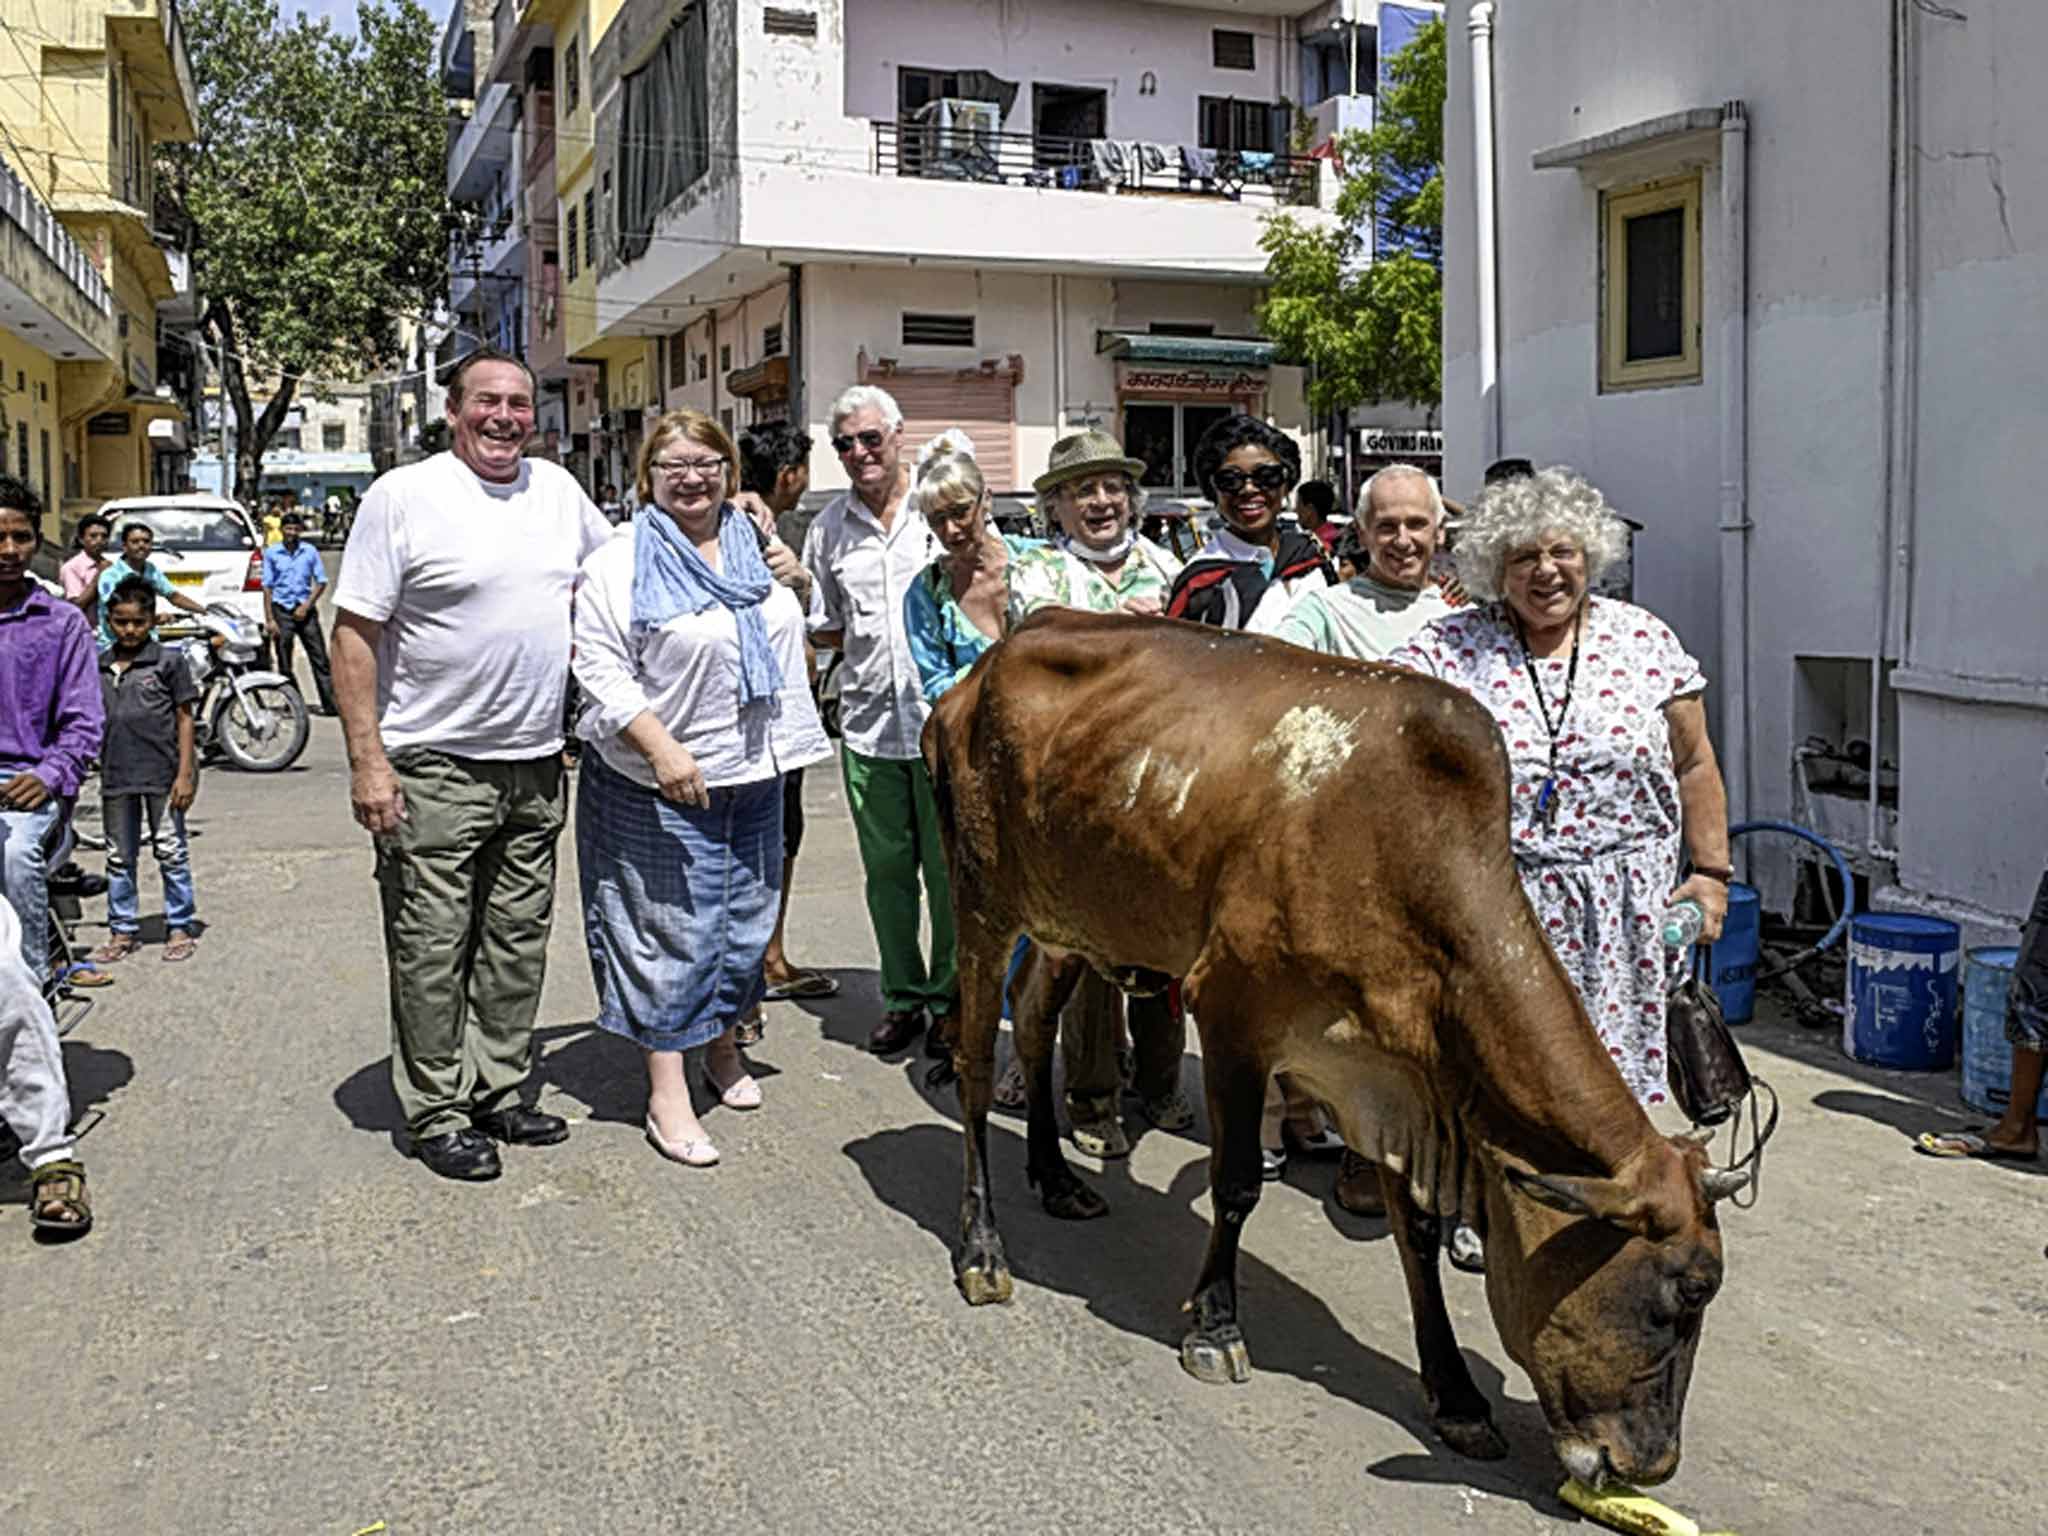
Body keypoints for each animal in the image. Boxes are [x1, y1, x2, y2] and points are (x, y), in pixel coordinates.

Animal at [921, 610, 1753, 1490]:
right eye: (1685, 1292)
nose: (1652, 1464)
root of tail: (992, 659)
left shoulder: (1391, 1079)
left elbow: (1416, 1233)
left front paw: (1456, 1394)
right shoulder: (1233, 1014)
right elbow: (1236, 1185)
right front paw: (1214, 1327)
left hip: (1074, 920)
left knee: (1032, 1015)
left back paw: (1055, 1178)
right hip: (980, 899)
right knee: (975, 1064)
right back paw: (982, 1248)